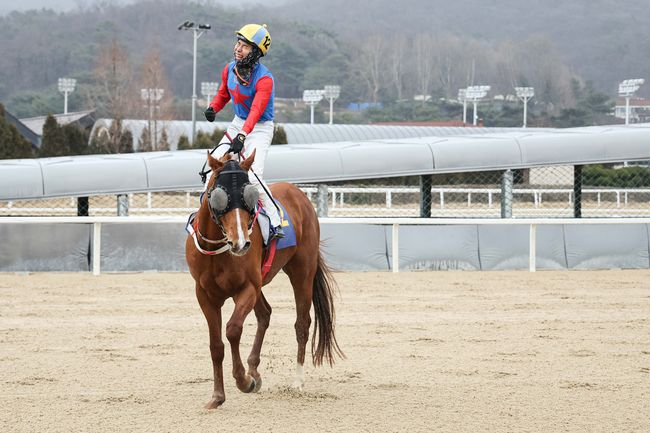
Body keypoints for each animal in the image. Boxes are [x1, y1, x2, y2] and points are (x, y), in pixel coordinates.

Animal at [185, 150, 342, 406]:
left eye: (248, 195)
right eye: (220, 196)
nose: (241, 243)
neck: (219, 248)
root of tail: (298, 194)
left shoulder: (247, 287)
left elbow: (232, 329)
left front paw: (243, 380)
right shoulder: (205, 294)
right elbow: (216, 345)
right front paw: (217, 397)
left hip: (302, 271)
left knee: (302, 324)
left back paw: (296, 381)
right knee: (265, 314)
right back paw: (255, 370)